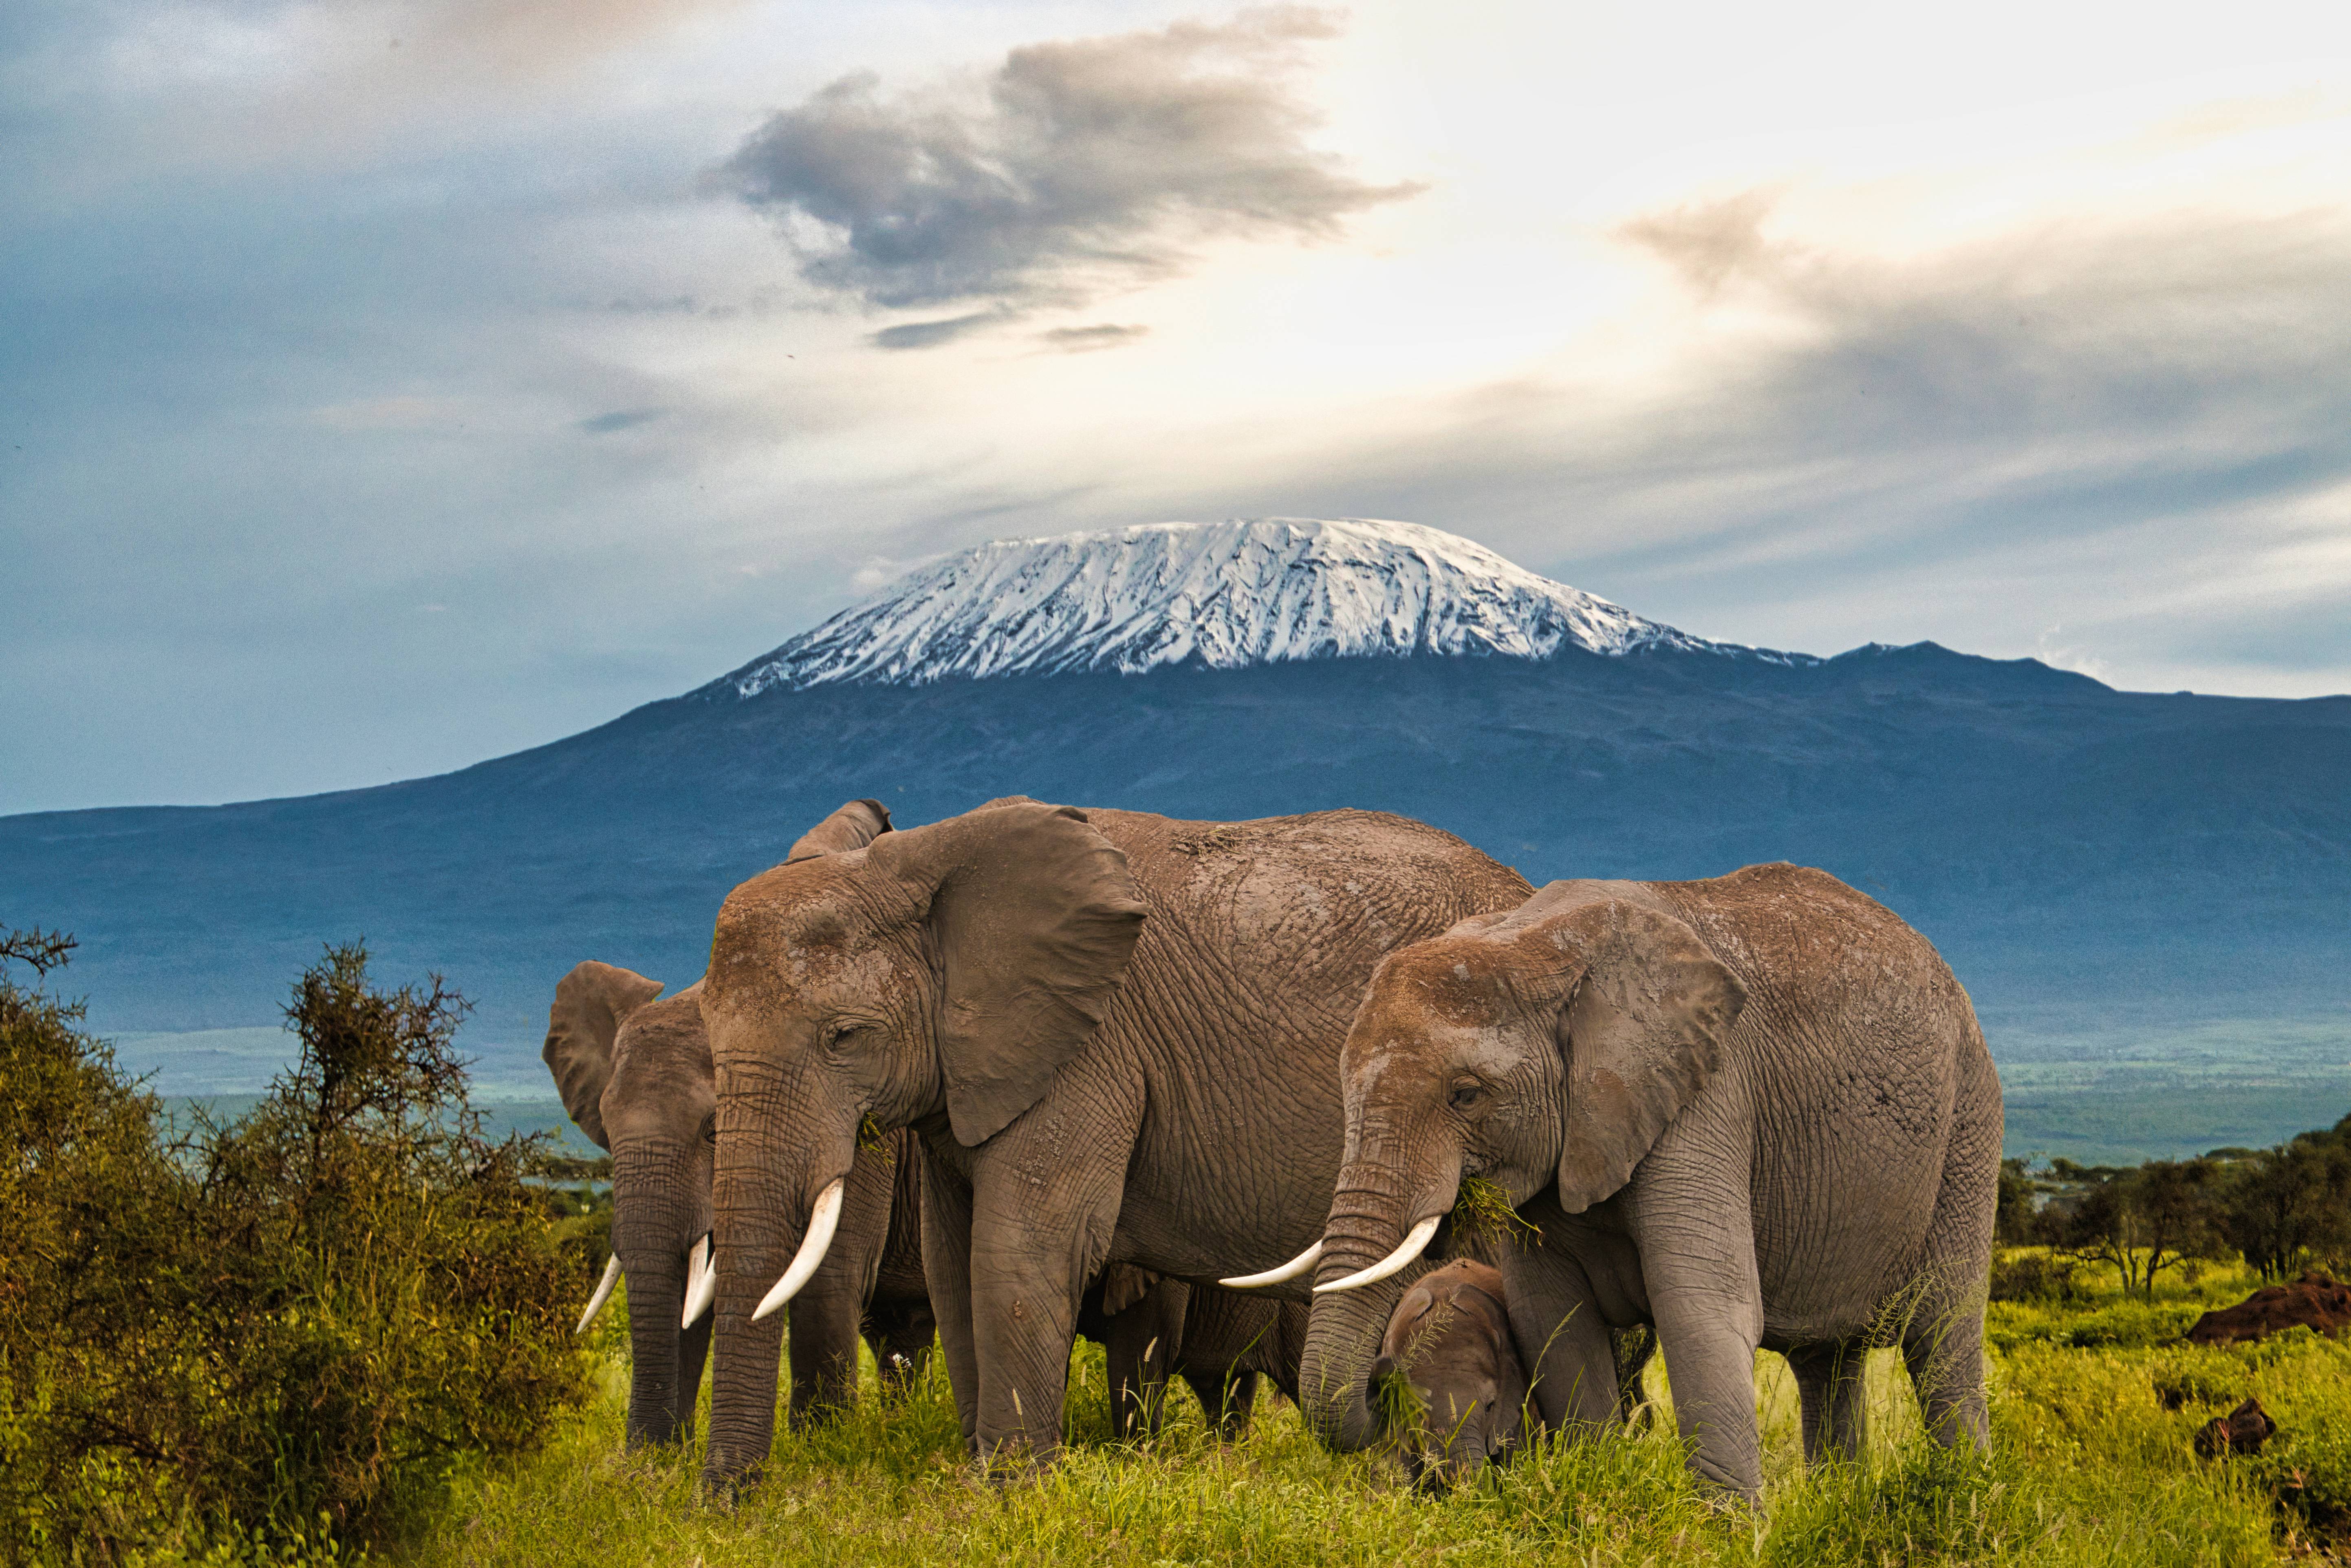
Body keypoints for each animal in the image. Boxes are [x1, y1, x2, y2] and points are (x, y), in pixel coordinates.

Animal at [538, 804, 931, 1457]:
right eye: (607, 1132)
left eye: (713, 1132)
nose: (641, 1457)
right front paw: (659, 1465)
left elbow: (829, 1275)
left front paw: (820, 1451)